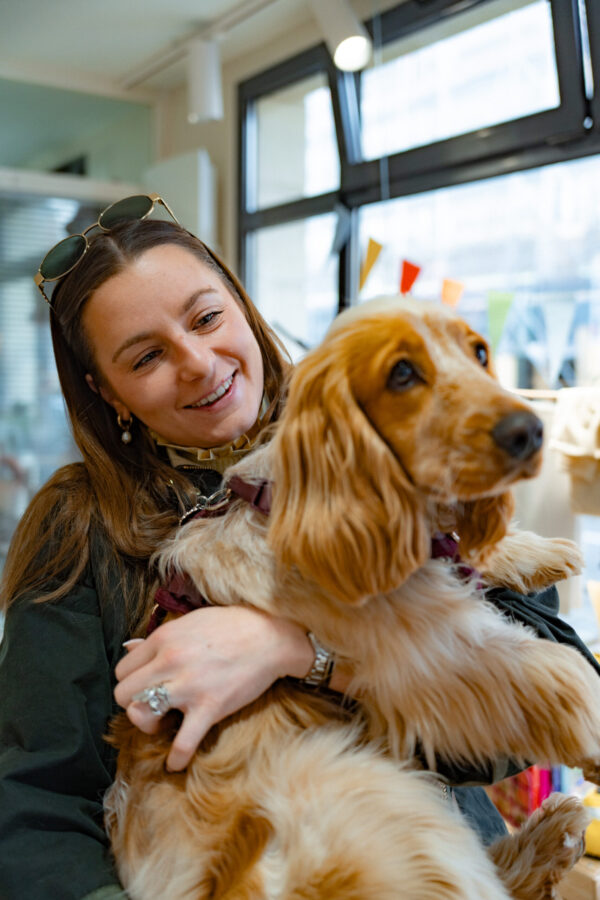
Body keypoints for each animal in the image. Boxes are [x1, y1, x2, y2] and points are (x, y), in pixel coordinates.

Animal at [106, 297, 596, 899]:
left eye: (480, 353)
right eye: (401, 374)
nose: (529, 431)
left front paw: (542, 553)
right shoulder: (437, 651)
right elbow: (566, 676)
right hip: (370, 792)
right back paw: (556, 835)